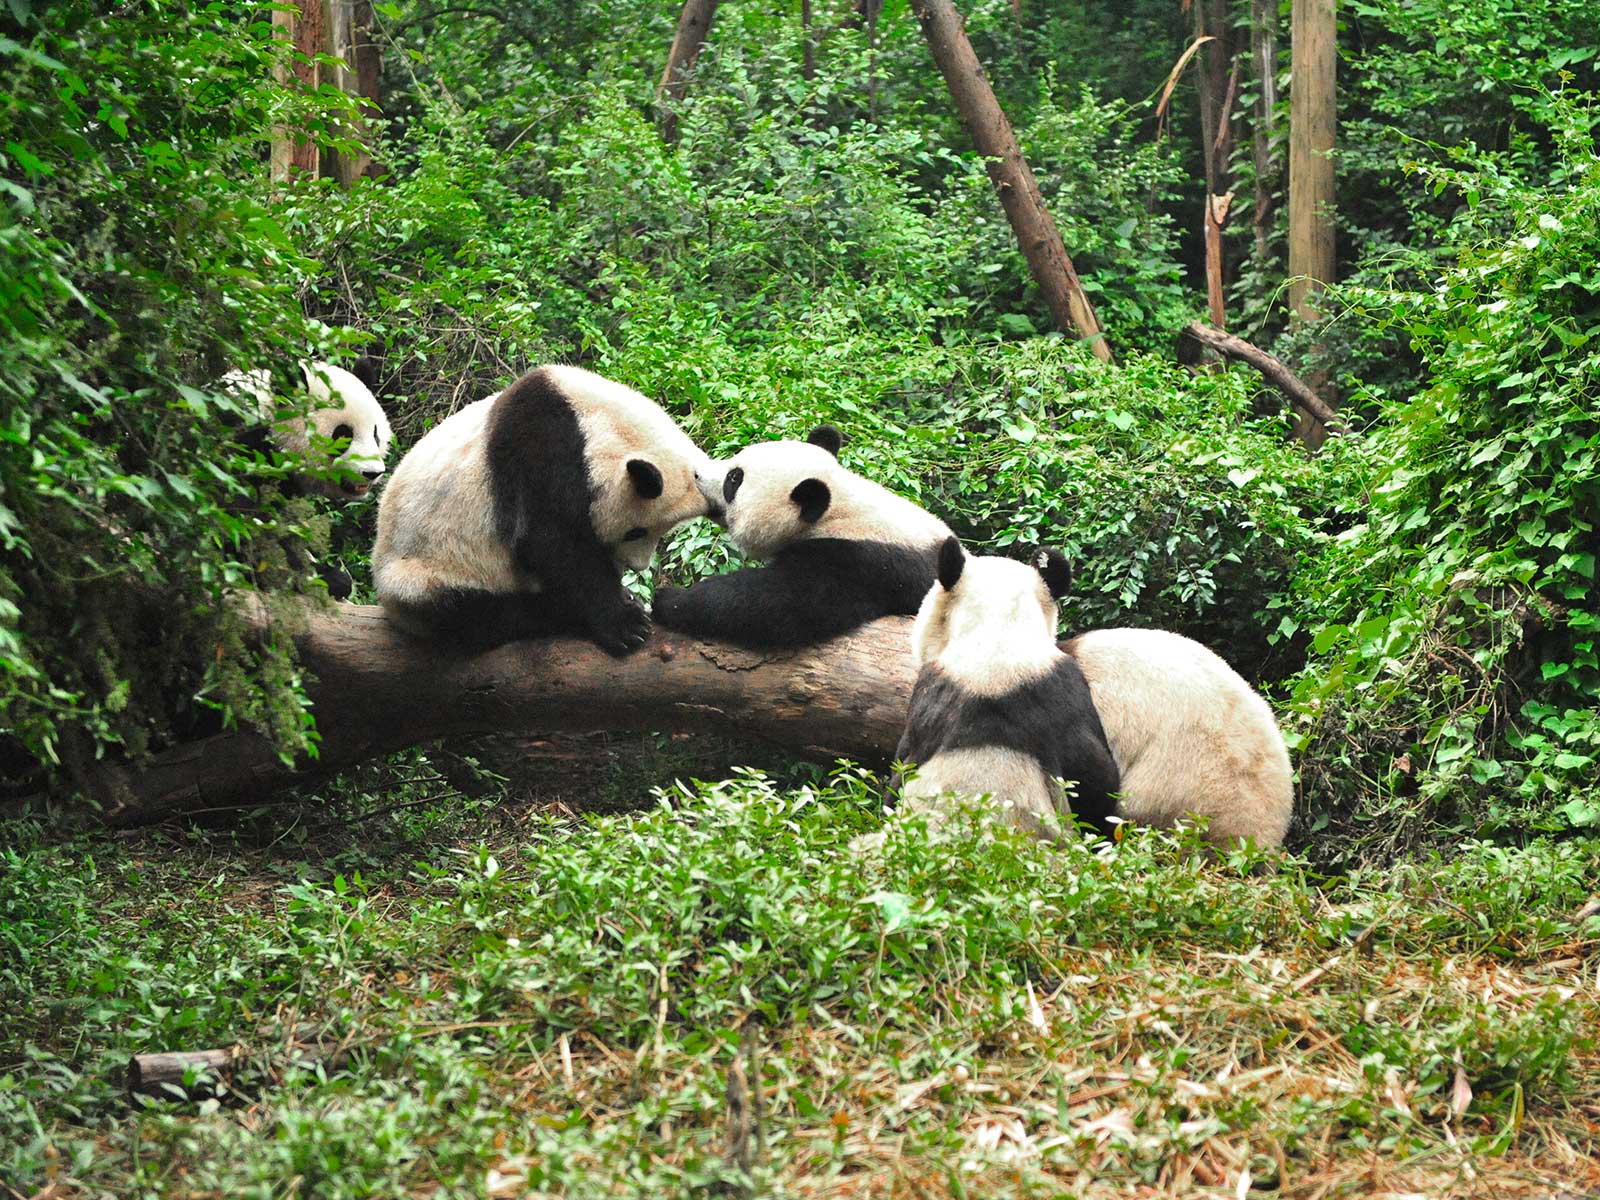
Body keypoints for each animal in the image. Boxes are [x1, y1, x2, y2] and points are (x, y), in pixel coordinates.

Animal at [372, 364, 715, 656]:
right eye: (636, 532)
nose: (637, 566)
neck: (593, 420)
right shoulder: (540, 445)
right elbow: (550, 542)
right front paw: (625, 625)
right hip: (427, 573)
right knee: (476, 614)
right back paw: (556, 611)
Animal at [652, 425, 952, 648]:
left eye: (733, 479)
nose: (697, 473)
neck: (835, 508)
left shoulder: (862, 563)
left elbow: (776, 604)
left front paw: (670, 600)